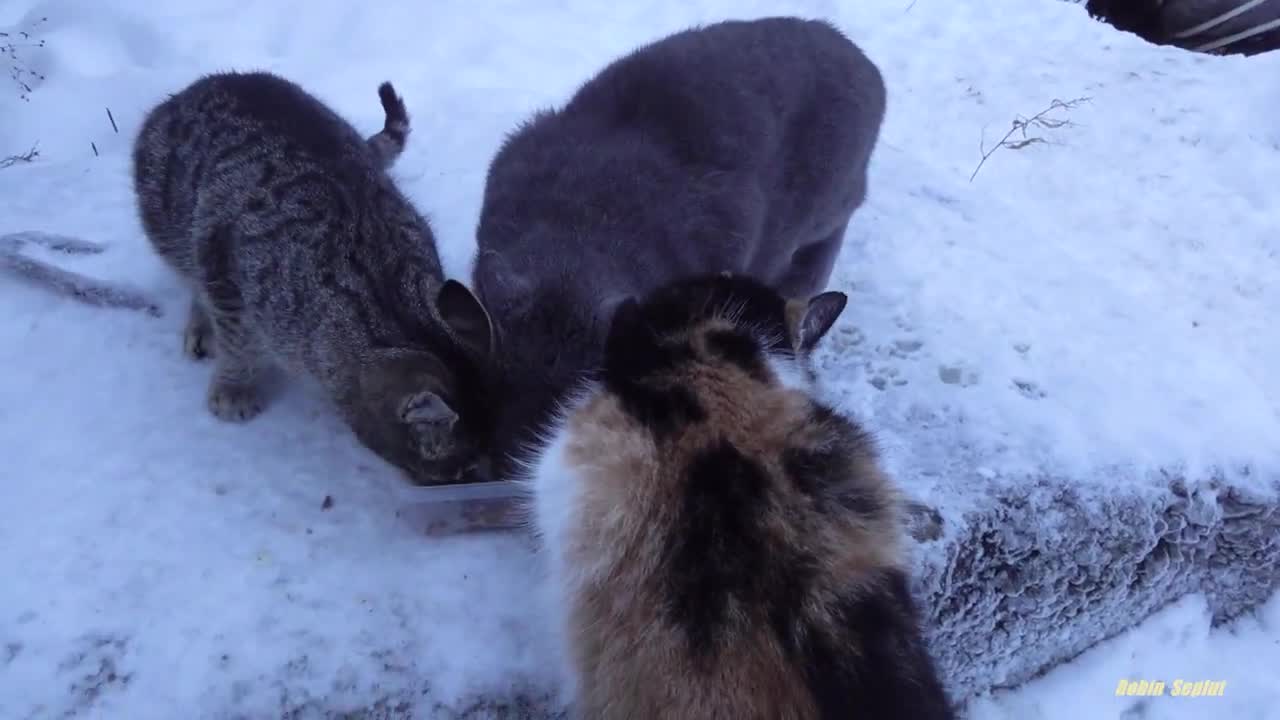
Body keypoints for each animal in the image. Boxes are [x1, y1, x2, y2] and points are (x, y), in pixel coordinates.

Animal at [133, 71, 494, 481]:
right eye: (463, 471)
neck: (387, 292)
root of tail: (194, 89)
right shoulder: (224, 267)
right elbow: (238, 344)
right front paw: (233, 387)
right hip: (171, 222)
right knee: (190, 276)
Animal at [473, 16, 890, 476]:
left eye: (571, 401)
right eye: (497, 377)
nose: (515, 460)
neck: (581, 225)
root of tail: (863, 59)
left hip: (822, 230)